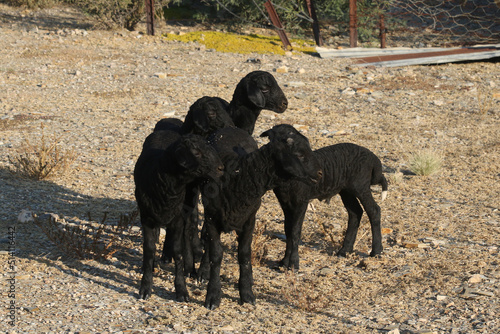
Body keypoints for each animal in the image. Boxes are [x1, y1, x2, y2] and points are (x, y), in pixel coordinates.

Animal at [135, 129, 225, 302]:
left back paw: (189, 267)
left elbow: (178, 251)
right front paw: (145, 286)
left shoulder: (177, 218)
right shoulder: (146, 218)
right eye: (196, 152)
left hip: (188, 202)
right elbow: (149, 249)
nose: (221, 169)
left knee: (188, 231)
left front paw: (181, 290)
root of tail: (165, 130)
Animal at [197, 124, 322, 310]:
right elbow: (216, 254)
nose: (320, 173)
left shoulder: (249, 220)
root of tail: (230, 127)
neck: (240, 176)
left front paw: (247, 293)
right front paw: (212, 295)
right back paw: (202, 272)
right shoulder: (212, 217)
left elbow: (244, 254)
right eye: (299, 154)